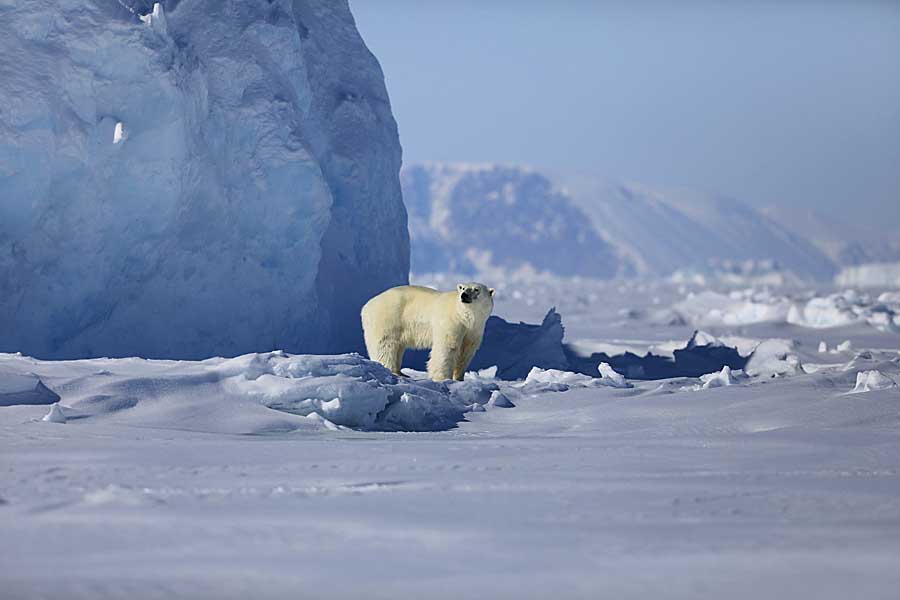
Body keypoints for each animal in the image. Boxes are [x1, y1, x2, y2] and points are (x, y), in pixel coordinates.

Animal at [362, 284, 496, 382]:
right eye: (463, 288)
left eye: (476, 289)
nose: (464, 295)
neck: (465, 317)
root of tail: (366, 307)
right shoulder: (452, 322)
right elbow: (447, 347)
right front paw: (443, 378)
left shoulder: (475, 329)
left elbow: (466, 351)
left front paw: (459, 378)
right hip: (387, 318)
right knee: (385, 346)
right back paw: (391, 370)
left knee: (397, 347)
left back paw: (401, 373)